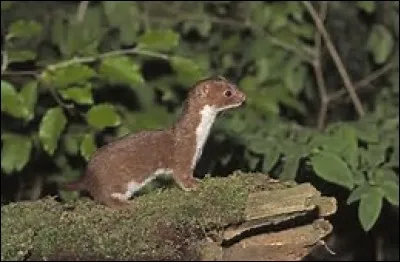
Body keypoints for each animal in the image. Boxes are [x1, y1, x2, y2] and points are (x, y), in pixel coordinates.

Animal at [65, 76, 247, 209]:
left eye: (234, 85)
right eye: (228, 93)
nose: (244, 97)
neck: (200, 138)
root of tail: (88, 175)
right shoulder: (184, 154)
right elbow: (181, 176)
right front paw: (195, 184)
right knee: (104, 198)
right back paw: (125, 204)